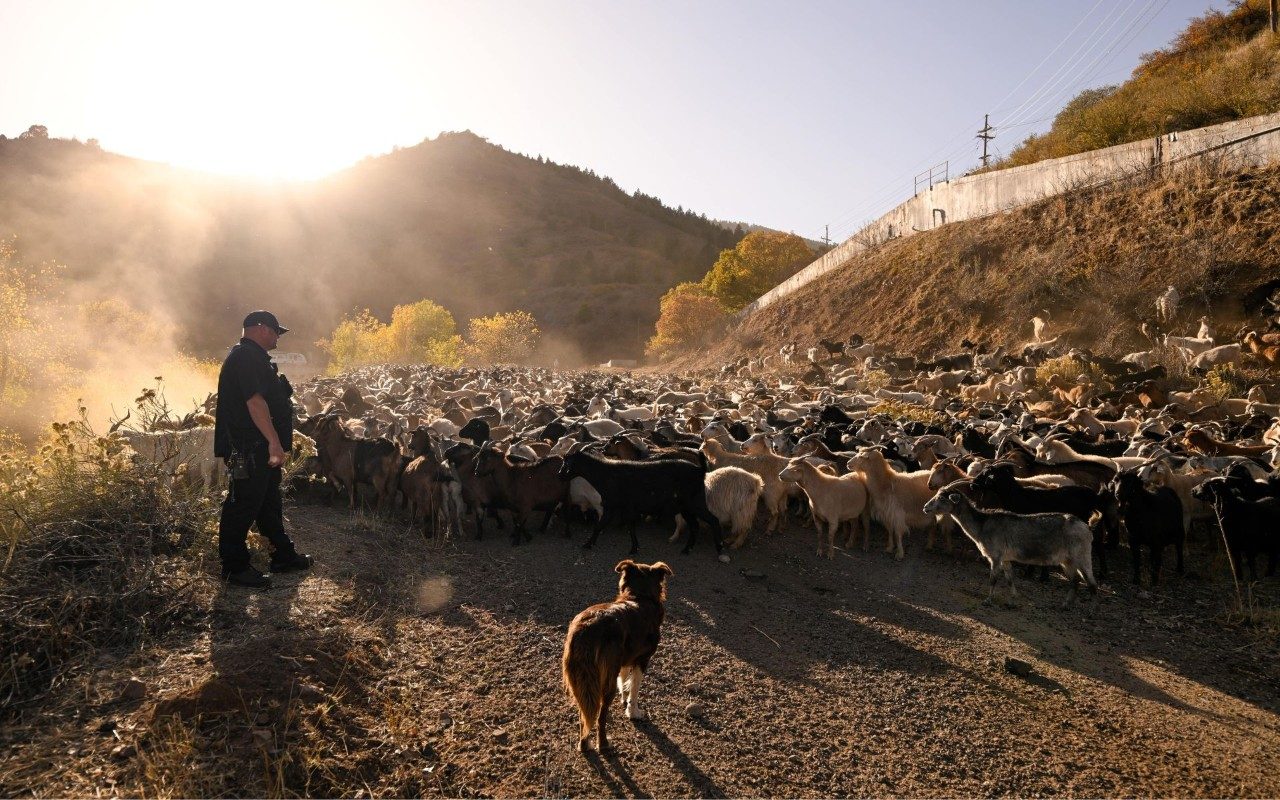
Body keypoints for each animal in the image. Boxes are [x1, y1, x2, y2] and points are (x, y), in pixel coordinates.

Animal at [926, 486, 1095, 611]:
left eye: (942, 498)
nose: (925, 507)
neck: (982, 525)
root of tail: (1087, 528)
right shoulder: (1006, 559)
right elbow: (1009, 579)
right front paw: (1011, 601)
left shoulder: (995, 555)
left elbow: (993, 579)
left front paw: (988, 600)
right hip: (1067, 561)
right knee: (1075, 581)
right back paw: (1065, 605)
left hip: (1082, 555)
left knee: (1092, 584)